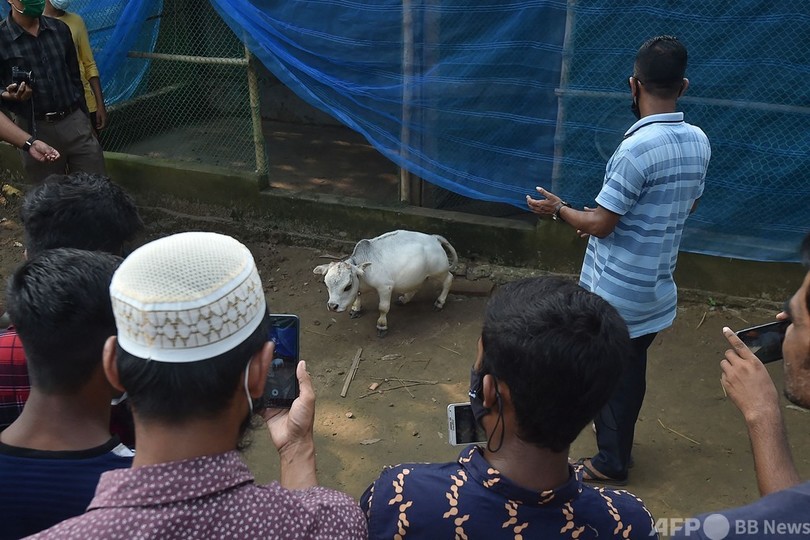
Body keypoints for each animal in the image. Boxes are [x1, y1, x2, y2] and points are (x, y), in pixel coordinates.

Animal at [313, 230, 458, 337]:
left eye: (347, 286)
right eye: (326, 284)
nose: (332, 306)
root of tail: (434, 238)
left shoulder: (385, 287)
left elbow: (383, 308)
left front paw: (382, 326)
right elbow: (358, 295)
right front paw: (356, 309)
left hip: (439, 271)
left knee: (449, 279)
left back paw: (439, 302)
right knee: (417, 286)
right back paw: (405, 299)